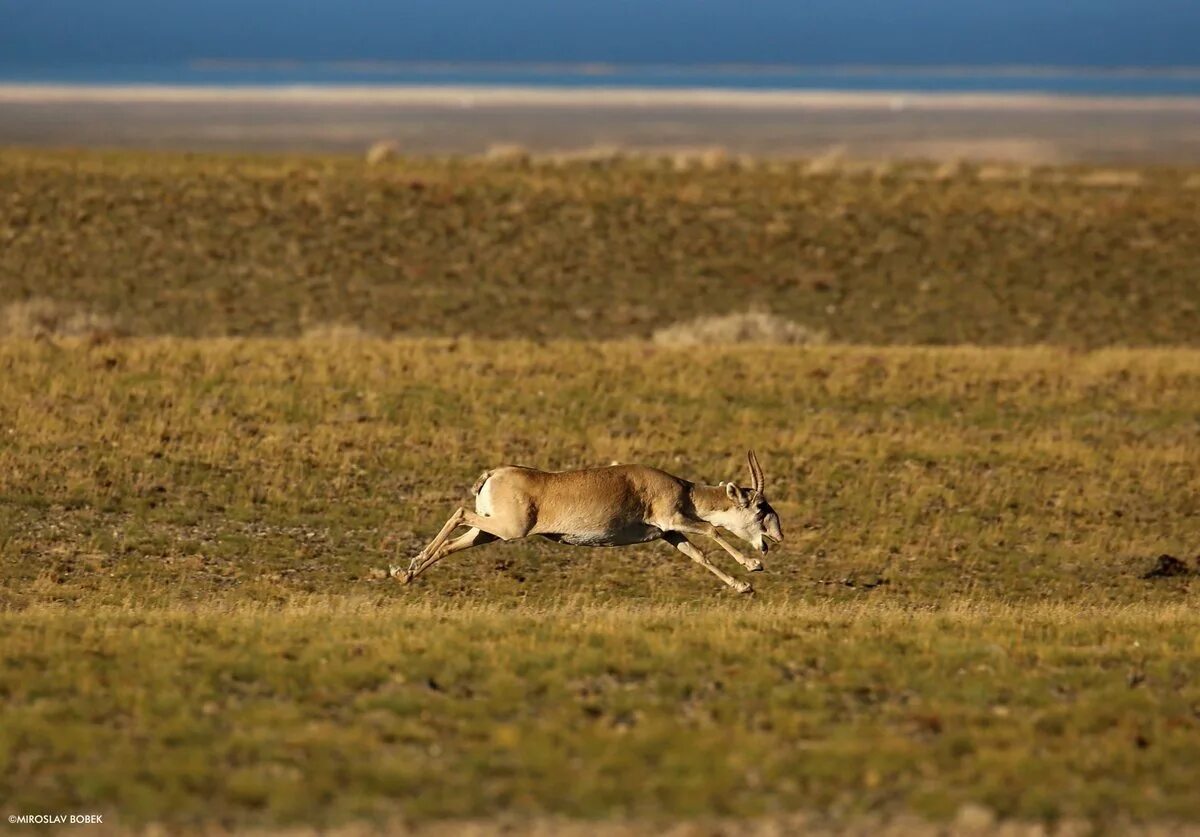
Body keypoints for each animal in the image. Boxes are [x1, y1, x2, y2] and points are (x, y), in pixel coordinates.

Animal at [393, 450, 782, 592]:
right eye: (761, 507)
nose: (776, 539)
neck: (684, 489)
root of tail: (493, 473)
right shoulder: (674, 518)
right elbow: (711, 528)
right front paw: (752, 567)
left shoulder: (669, 534)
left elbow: (698, 555)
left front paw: (743, 587)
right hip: (506, 530)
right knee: (458, 513)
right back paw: (406, 569)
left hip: (489, 532)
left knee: (452, 541)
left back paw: (404, 573)